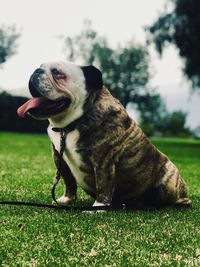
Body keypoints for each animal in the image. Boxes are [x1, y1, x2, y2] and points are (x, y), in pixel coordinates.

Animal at [18, 61, 191, 209]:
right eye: (40, 66)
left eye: (56, 72)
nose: (36, 71)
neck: (70, 125)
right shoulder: (59, 158)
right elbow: (69, 182)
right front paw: (67, 199)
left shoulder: (104, 159)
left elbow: (103, 183)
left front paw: (98, 207)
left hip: (168, 180)